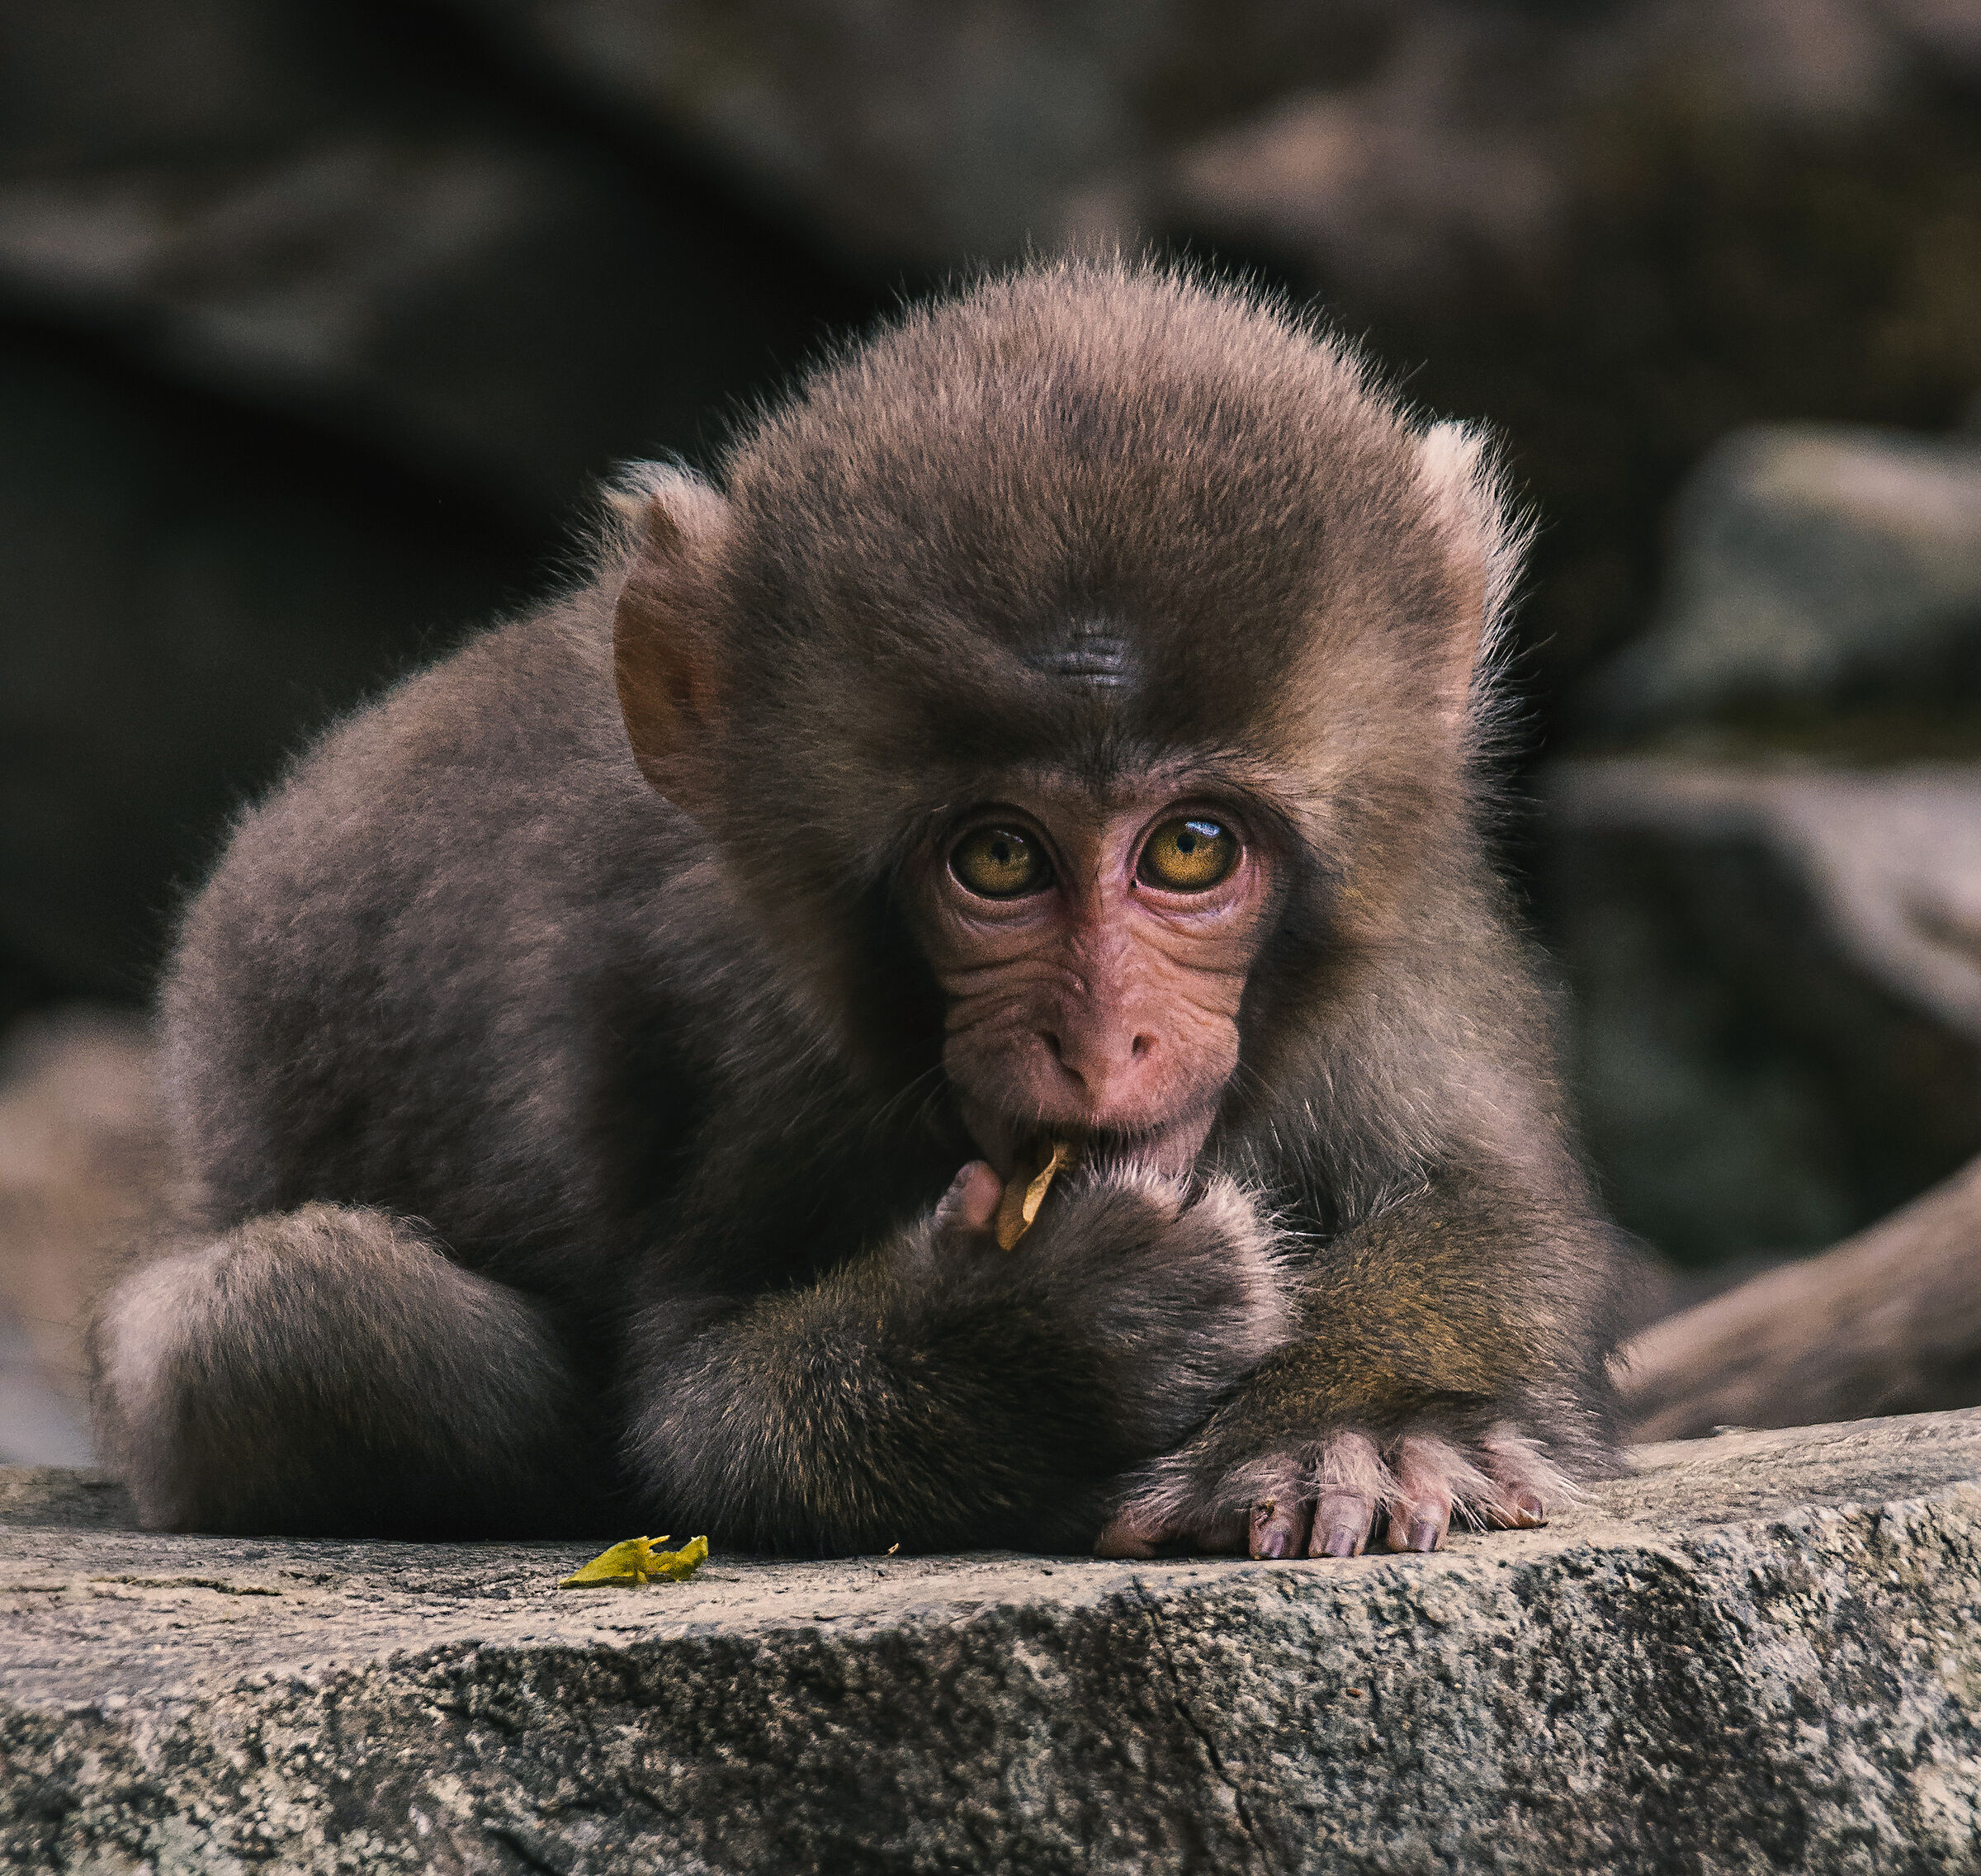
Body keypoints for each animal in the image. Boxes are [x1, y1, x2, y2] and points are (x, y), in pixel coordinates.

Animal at [89, 259, 1624, 1559]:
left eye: (1190, 850)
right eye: (999, 860)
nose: (1100, 1045)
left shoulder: (1404, 925)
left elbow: (1484, 1197)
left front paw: (1351, 1422)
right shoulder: (754, 1038)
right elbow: (706, 1412)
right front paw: (1057, 1328)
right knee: (310, 1323)